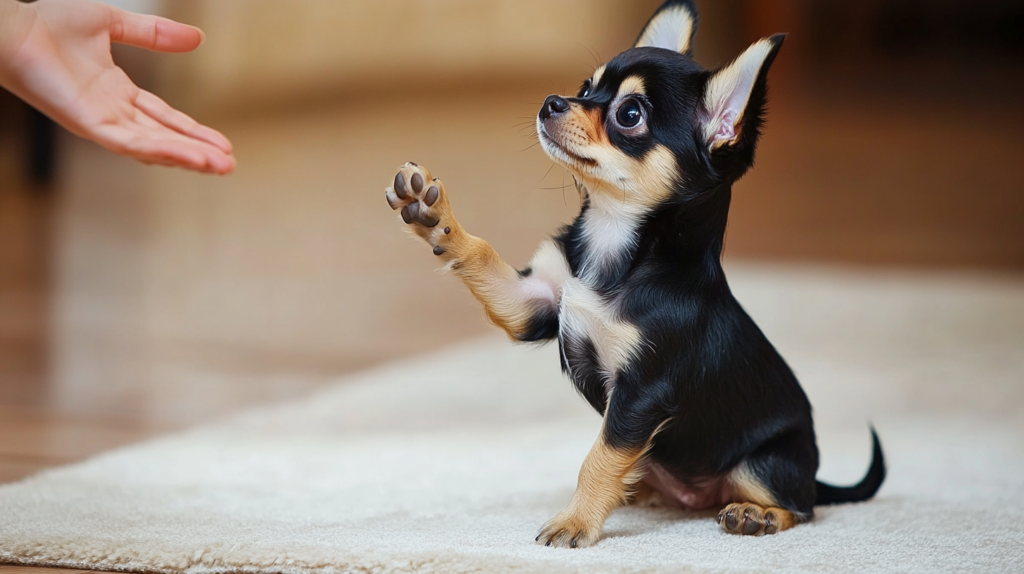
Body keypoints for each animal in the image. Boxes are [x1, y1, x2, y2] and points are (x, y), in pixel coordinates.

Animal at [380, 0, 884, 544]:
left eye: (629, 114)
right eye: (585, 88)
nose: (552, 101)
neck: (612, 240)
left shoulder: (640, 394)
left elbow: (599, 458)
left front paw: (575, 521)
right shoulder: (535, 301)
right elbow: (479, 253)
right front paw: (433, 217)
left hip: (764, 464)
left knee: (801, 506)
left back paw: (758, 514)